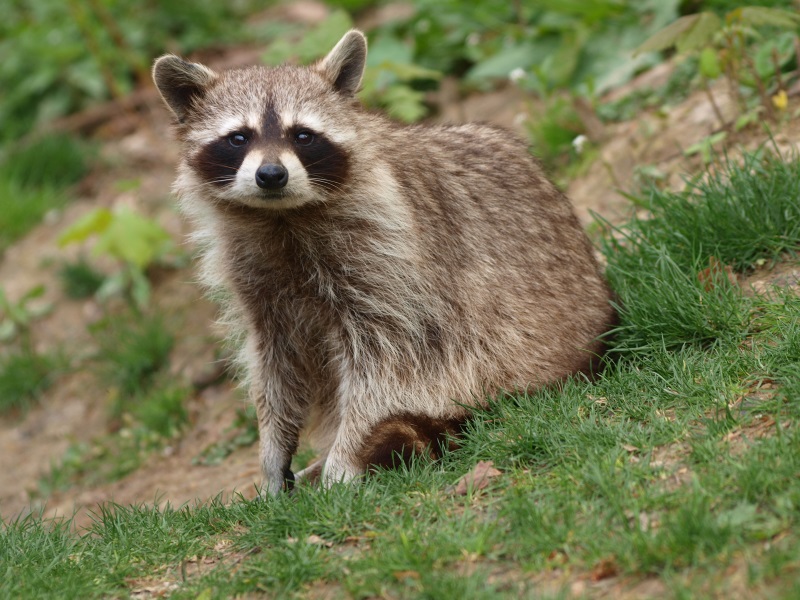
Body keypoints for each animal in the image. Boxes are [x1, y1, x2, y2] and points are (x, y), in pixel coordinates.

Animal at [152, 30, 616, 496]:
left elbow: (387, 362)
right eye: (239, 138)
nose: (271, 175)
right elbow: (276, 369)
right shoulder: (255, 278)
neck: (282, 216)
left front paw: (344, 457)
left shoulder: (390, 258)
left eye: (302, 135)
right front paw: (273, 448)